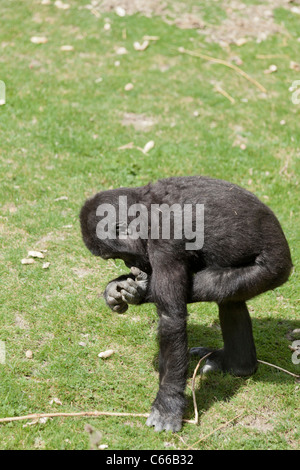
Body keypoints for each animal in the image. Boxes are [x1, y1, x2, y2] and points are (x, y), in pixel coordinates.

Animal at [80, 177, 292, 434]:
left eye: (116, 256)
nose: (130, 265)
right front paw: (116, 288)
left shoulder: (164, 240)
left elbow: (171, 318)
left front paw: (167, 403)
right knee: (230, 301)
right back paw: (238, 365)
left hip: (272, 269)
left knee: (213, 286)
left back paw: (142, 290)